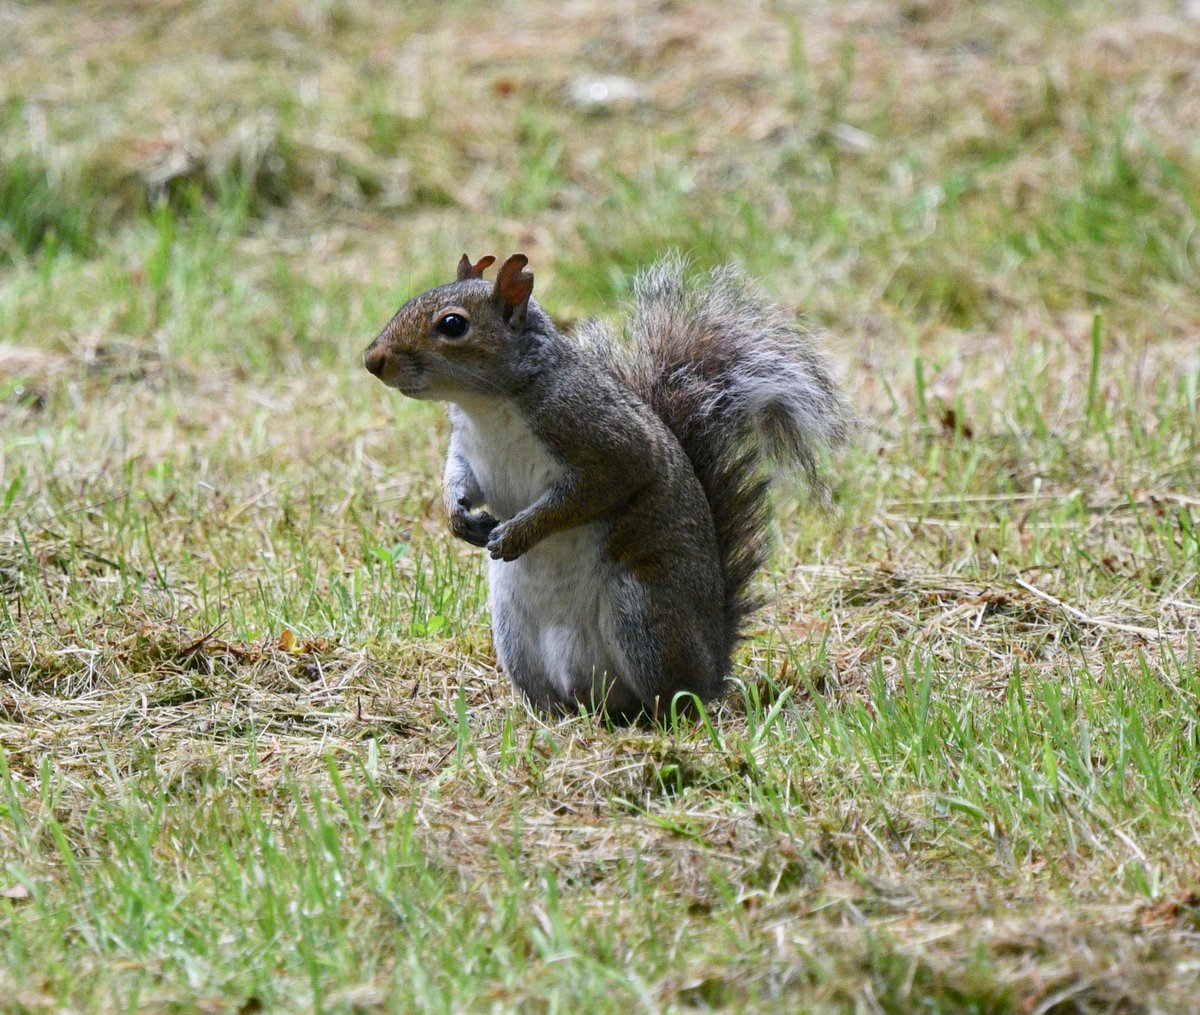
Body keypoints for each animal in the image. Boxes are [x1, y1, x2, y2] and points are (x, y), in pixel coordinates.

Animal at [362, 253, 854, 724]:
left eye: (452, 325)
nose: (372, 360)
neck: (486, 405)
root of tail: (714, 665)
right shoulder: (468, 450)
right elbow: (460, 480)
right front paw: (460, 520)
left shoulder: (603, 439)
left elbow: (590, 493)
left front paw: (520, 532)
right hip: (513, 635)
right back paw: (545, 717)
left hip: (643, 615)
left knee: (675, 697)